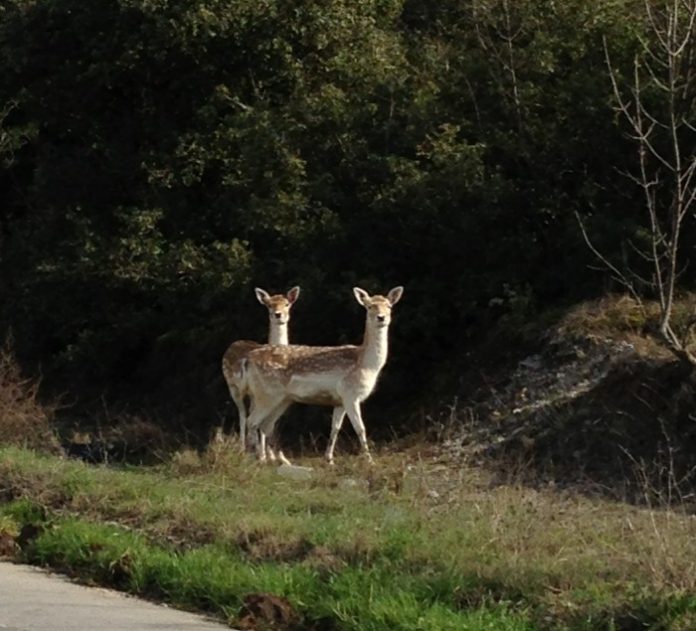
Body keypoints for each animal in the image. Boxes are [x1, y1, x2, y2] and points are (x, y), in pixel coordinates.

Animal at [223, 286, 300, 460]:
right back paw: (243, 448)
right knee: (242, 414)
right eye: (269, 305)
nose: (278, 315)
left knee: (251, 415)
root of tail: (233, 344)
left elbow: (268, 424)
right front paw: (263, 454)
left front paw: (269, 455)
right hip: (233, 388)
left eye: (287, 303)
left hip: (251, 393)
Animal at [243, 286, 402, 464]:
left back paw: (271, 459)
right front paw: (370, 460)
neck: (366, 365)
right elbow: (360, 428)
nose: (381, 317)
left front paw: (329, 459)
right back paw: (256, 459)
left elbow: (335, 428)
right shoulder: (350, 394)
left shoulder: (339, 400)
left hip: (282, 398)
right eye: (369, 306)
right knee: (251, 421)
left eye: (389, 306)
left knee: (265, 425)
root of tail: (248, 359)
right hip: (266, 394)